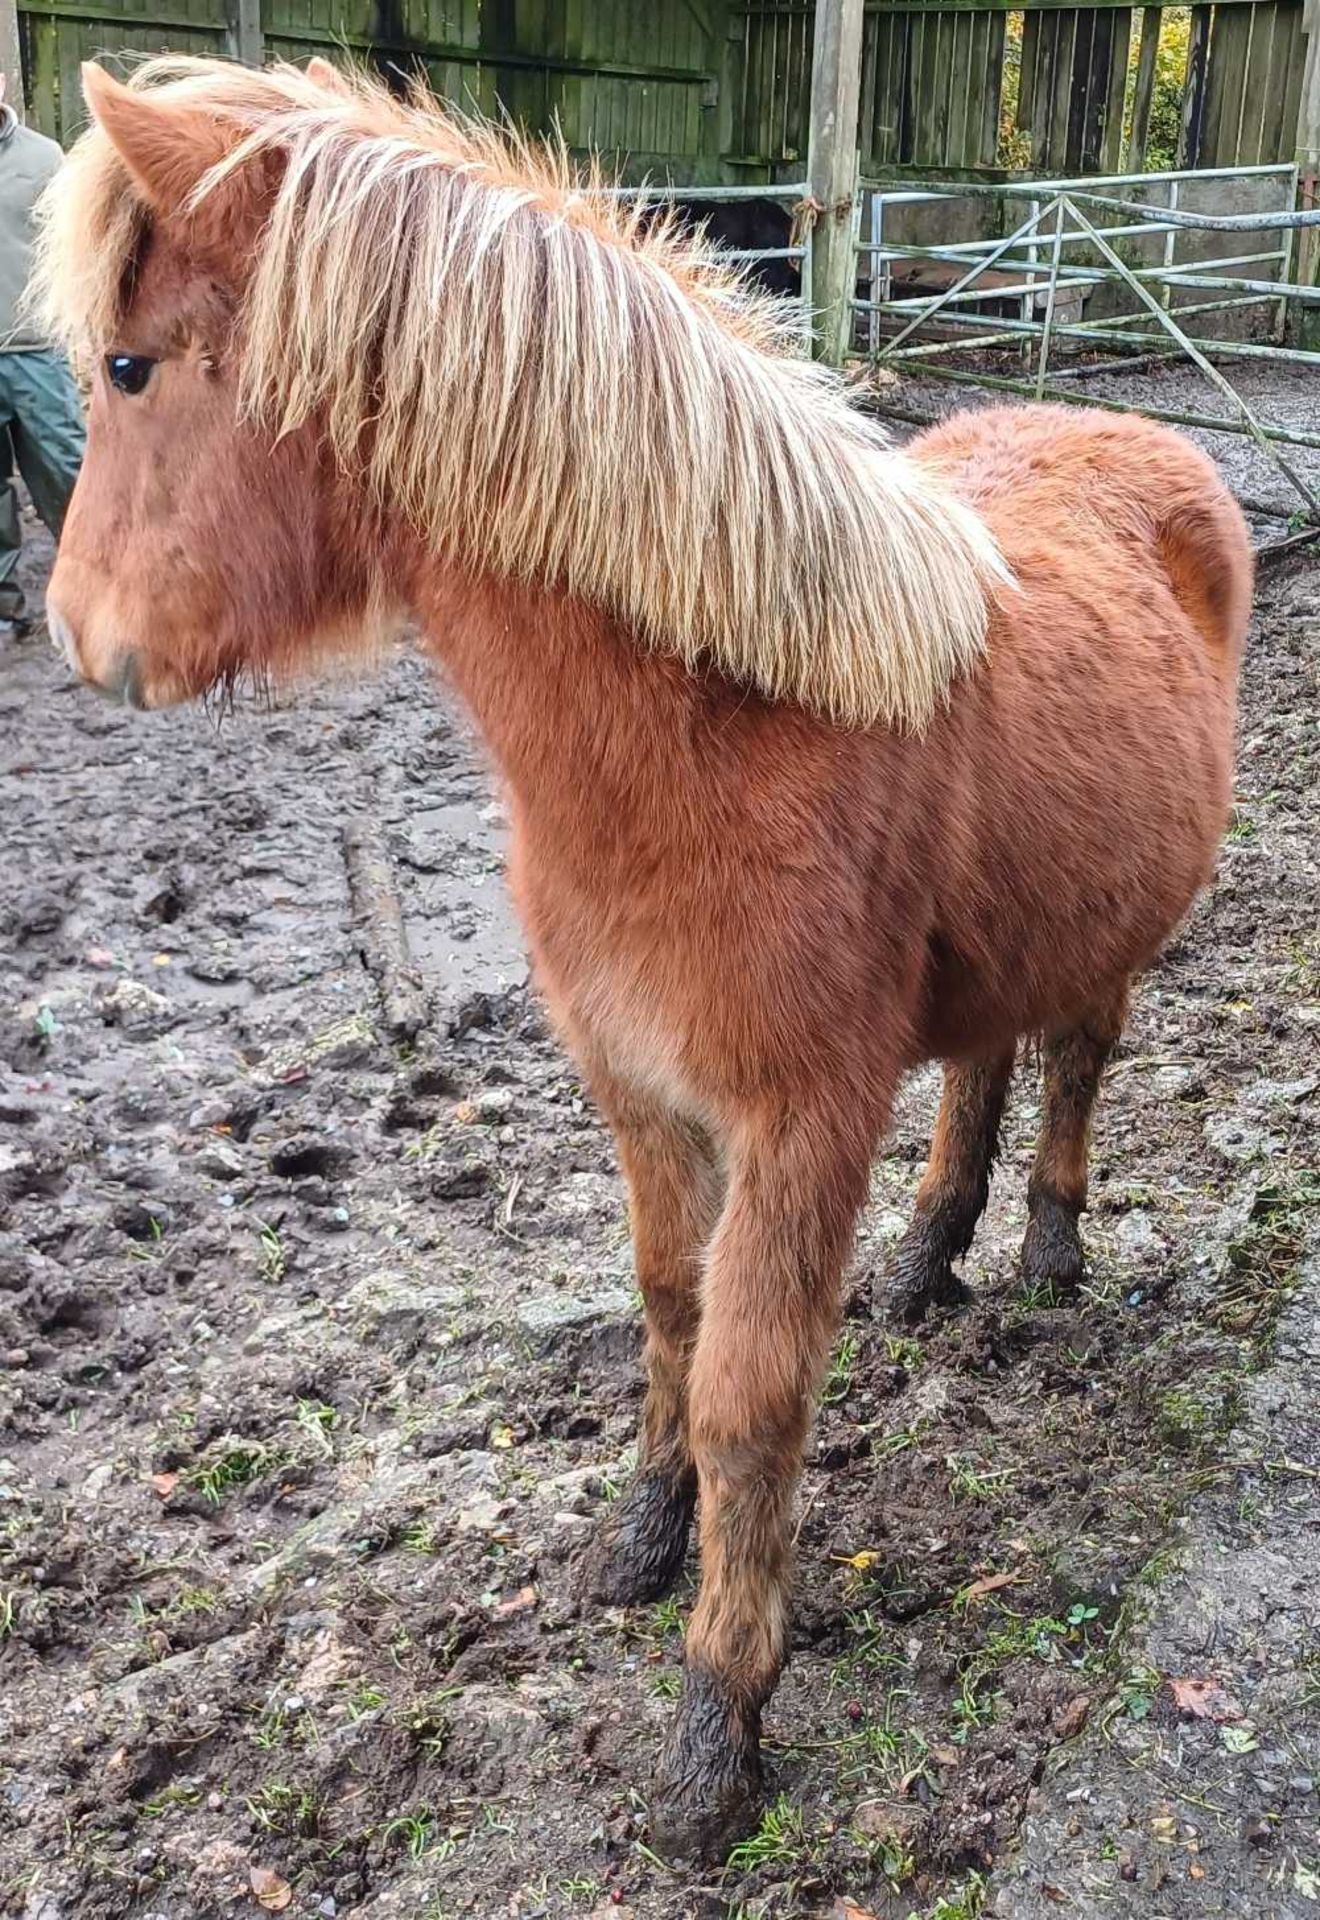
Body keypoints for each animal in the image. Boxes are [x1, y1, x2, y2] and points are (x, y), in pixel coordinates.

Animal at [33, 56, 1250, 1858]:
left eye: (128, 367)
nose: (75, 634)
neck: (717, 730)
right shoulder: (640, 1093)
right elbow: (669, 1317)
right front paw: (640, 1542)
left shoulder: (799, 1121)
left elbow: (752, 1394)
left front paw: (713, 1733)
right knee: (986, 1056)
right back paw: (928, 1262)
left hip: (1114, 925)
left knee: (1080, 1056)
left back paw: (1042, 1256)